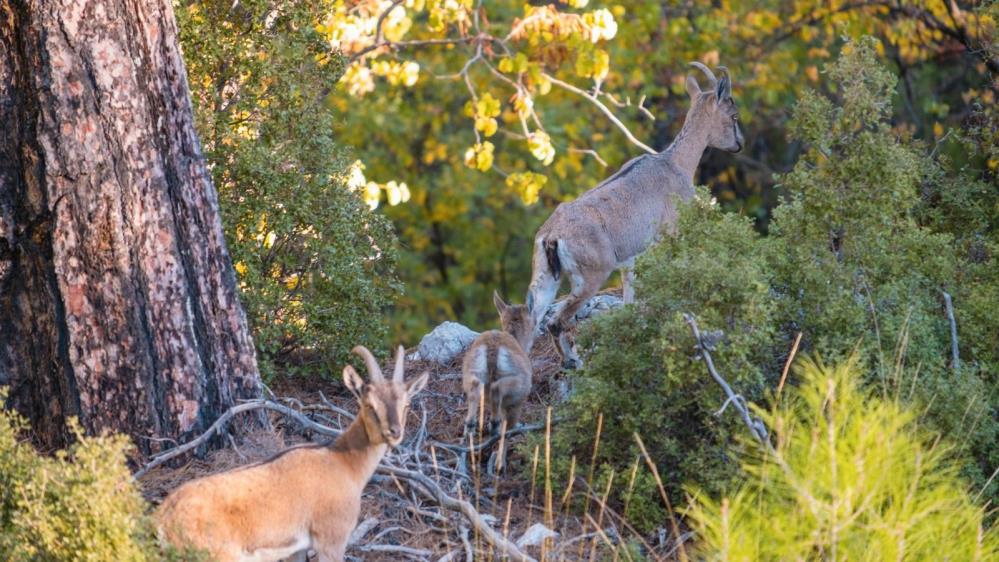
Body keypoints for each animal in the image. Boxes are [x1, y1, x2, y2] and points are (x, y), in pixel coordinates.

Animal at [154, 346, 428, 560]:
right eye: (370, 405)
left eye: (406, 404)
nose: (394, 432)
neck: (343, 463)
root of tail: (164, 517)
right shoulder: (331, 538)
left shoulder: (297, 548)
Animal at [532, 62, 744, 368]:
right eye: (733, 114)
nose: (740, 144)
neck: (675, 164)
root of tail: (552, 235)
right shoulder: (670, 236)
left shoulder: (631, 260)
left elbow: (630, 298)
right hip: (591, 276)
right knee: (555, 321)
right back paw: (573, 360)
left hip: (545, 277)